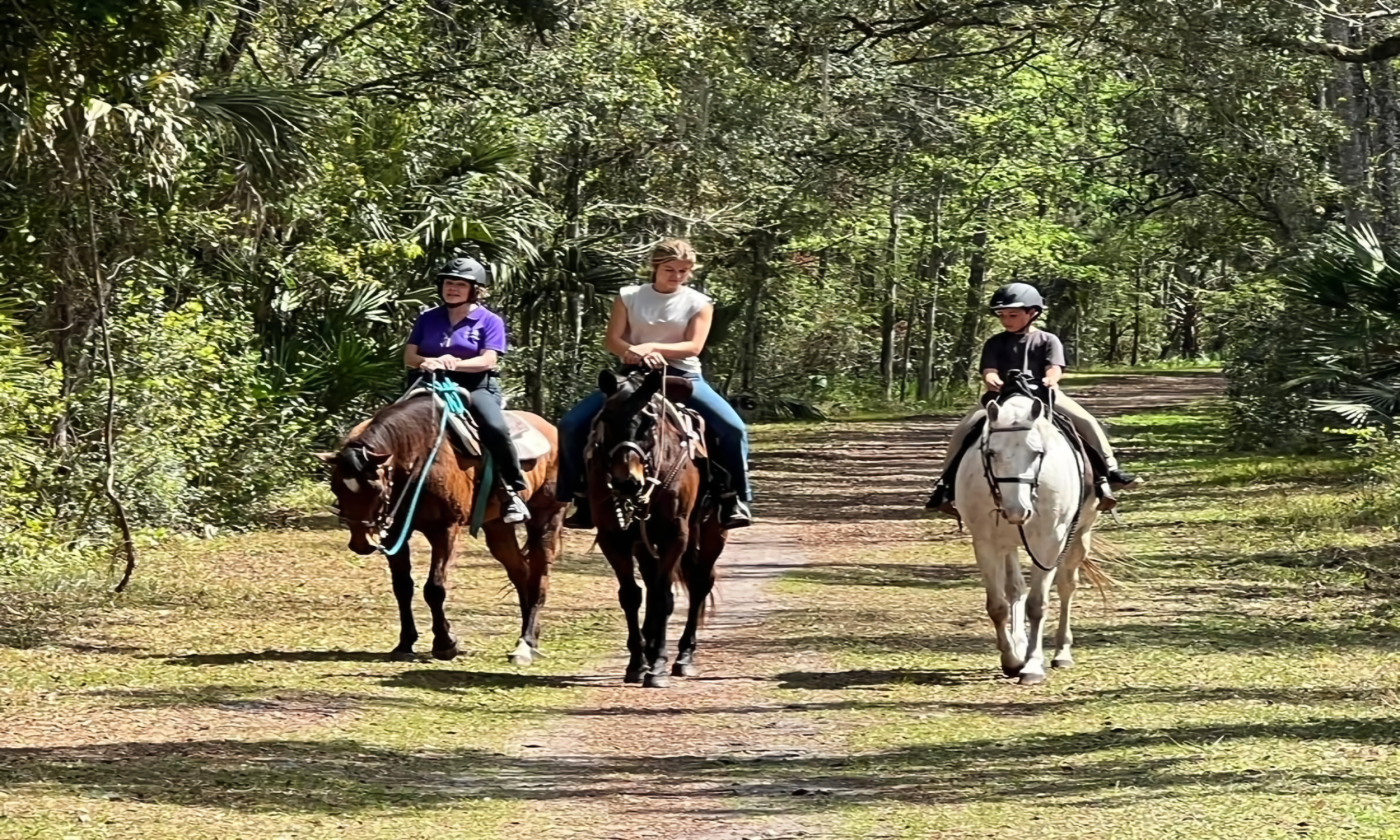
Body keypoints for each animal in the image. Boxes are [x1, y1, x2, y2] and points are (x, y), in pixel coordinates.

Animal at [322, 394, 562, 663]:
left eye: (375, 489)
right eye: (336, 488)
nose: (361, 543)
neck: (417, 457)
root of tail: (550, 429)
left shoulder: (445, 530)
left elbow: (435, 588)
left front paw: (445, 643)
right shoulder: (395, 534)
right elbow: (402, 586)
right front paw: (406, 642)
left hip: (547, 519)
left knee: (539, 579)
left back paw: (527, 643)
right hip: (497, 527)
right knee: (521, 572)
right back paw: (525, 639)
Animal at [585, 366, 728, 688]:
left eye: (648, 423)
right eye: (607, 418)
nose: (627, 482)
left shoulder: (676, 535)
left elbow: (663, 598)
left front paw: (658, 666)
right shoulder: (613, 538)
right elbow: (631, 595)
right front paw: (637, 663)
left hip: (713, 533)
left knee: (699, 583)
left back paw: (683, 657)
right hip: (644, 544)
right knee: (652, 586)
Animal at [952, 389, 1103, 686]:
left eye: (1037, 452)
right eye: (991, 452)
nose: (1017, 510)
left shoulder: (1049, 544)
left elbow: (1037, 605)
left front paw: (1033, 665)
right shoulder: (985, 543)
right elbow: (998, 605)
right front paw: (1012, 660)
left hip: (1080, 534)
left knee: (1067, 586)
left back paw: (1061, 652)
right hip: (1010, 543)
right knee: (1015, 589)